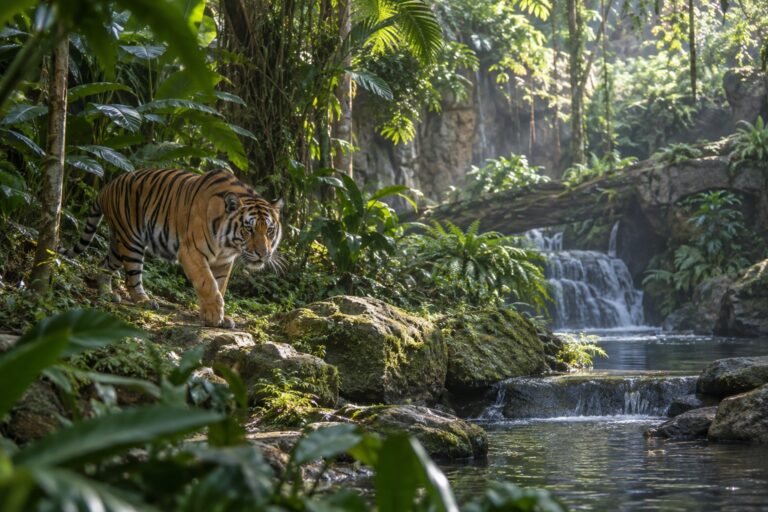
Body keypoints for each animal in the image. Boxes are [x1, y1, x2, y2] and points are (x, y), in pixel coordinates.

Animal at [62, 168, 284, 329]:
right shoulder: (191, 252)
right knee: (132, 277)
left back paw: (107, 294)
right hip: (131, 241)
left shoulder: (223, 261)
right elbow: (208, 284)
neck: (228, 245)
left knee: (104, 264)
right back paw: (144, 300)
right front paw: (214, 315)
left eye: (270, 230)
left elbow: (220, 286)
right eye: (249, 229)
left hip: (118, 242)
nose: (263, 254)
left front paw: (217, 317)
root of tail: (107, 186)